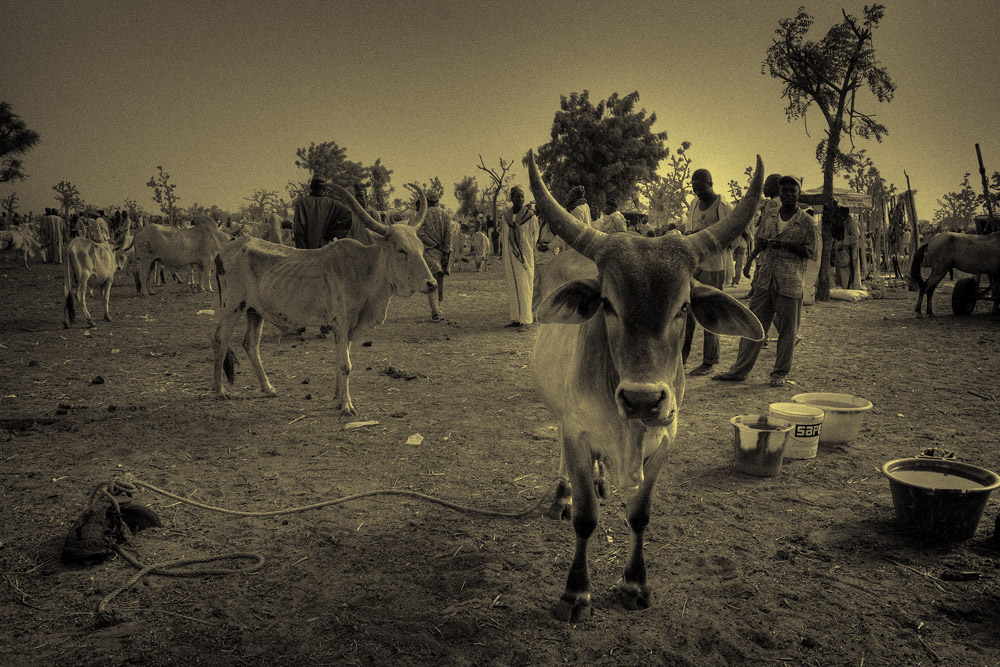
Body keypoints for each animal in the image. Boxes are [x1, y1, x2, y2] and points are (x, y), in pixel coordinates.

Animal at [215, 185, 438, 414]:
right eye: (401, 250)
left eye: (421, 248)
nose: (431, 283)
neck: (364, 268)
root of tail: (223, 251)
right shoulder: (341, 322)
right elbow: (345, 365)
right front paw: (347, 405)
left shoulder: (349, 327)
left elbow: (342, 359)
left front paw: (337, 398)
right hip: (232, 306)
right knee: (220, 340)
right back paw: (220, 391)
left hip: (255, 311)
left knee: (251, 345)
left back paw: (268, 388)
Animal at [528, 150, 760, 620]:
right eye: (607, 304)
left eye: (684, 306)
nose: (642, 399)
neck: (628, 429)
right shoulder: (576, 433)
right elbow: (586, 518)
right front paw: (576, 593)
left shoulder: (665, 439)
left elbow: (639, 515)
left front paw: (635, 584)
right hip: (560, 416)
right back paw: (562, 496)